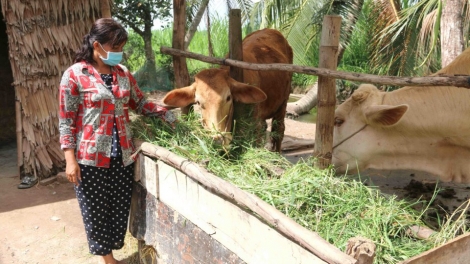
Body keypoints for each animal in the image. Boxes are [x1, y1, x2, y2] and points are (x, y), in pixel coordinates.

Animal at [163, 28, 292, 152]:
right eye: (198, 102)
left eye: (228, 98)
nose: (218, 139)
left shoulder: (255, 126)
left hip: (283, 103)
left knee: (279, 131)